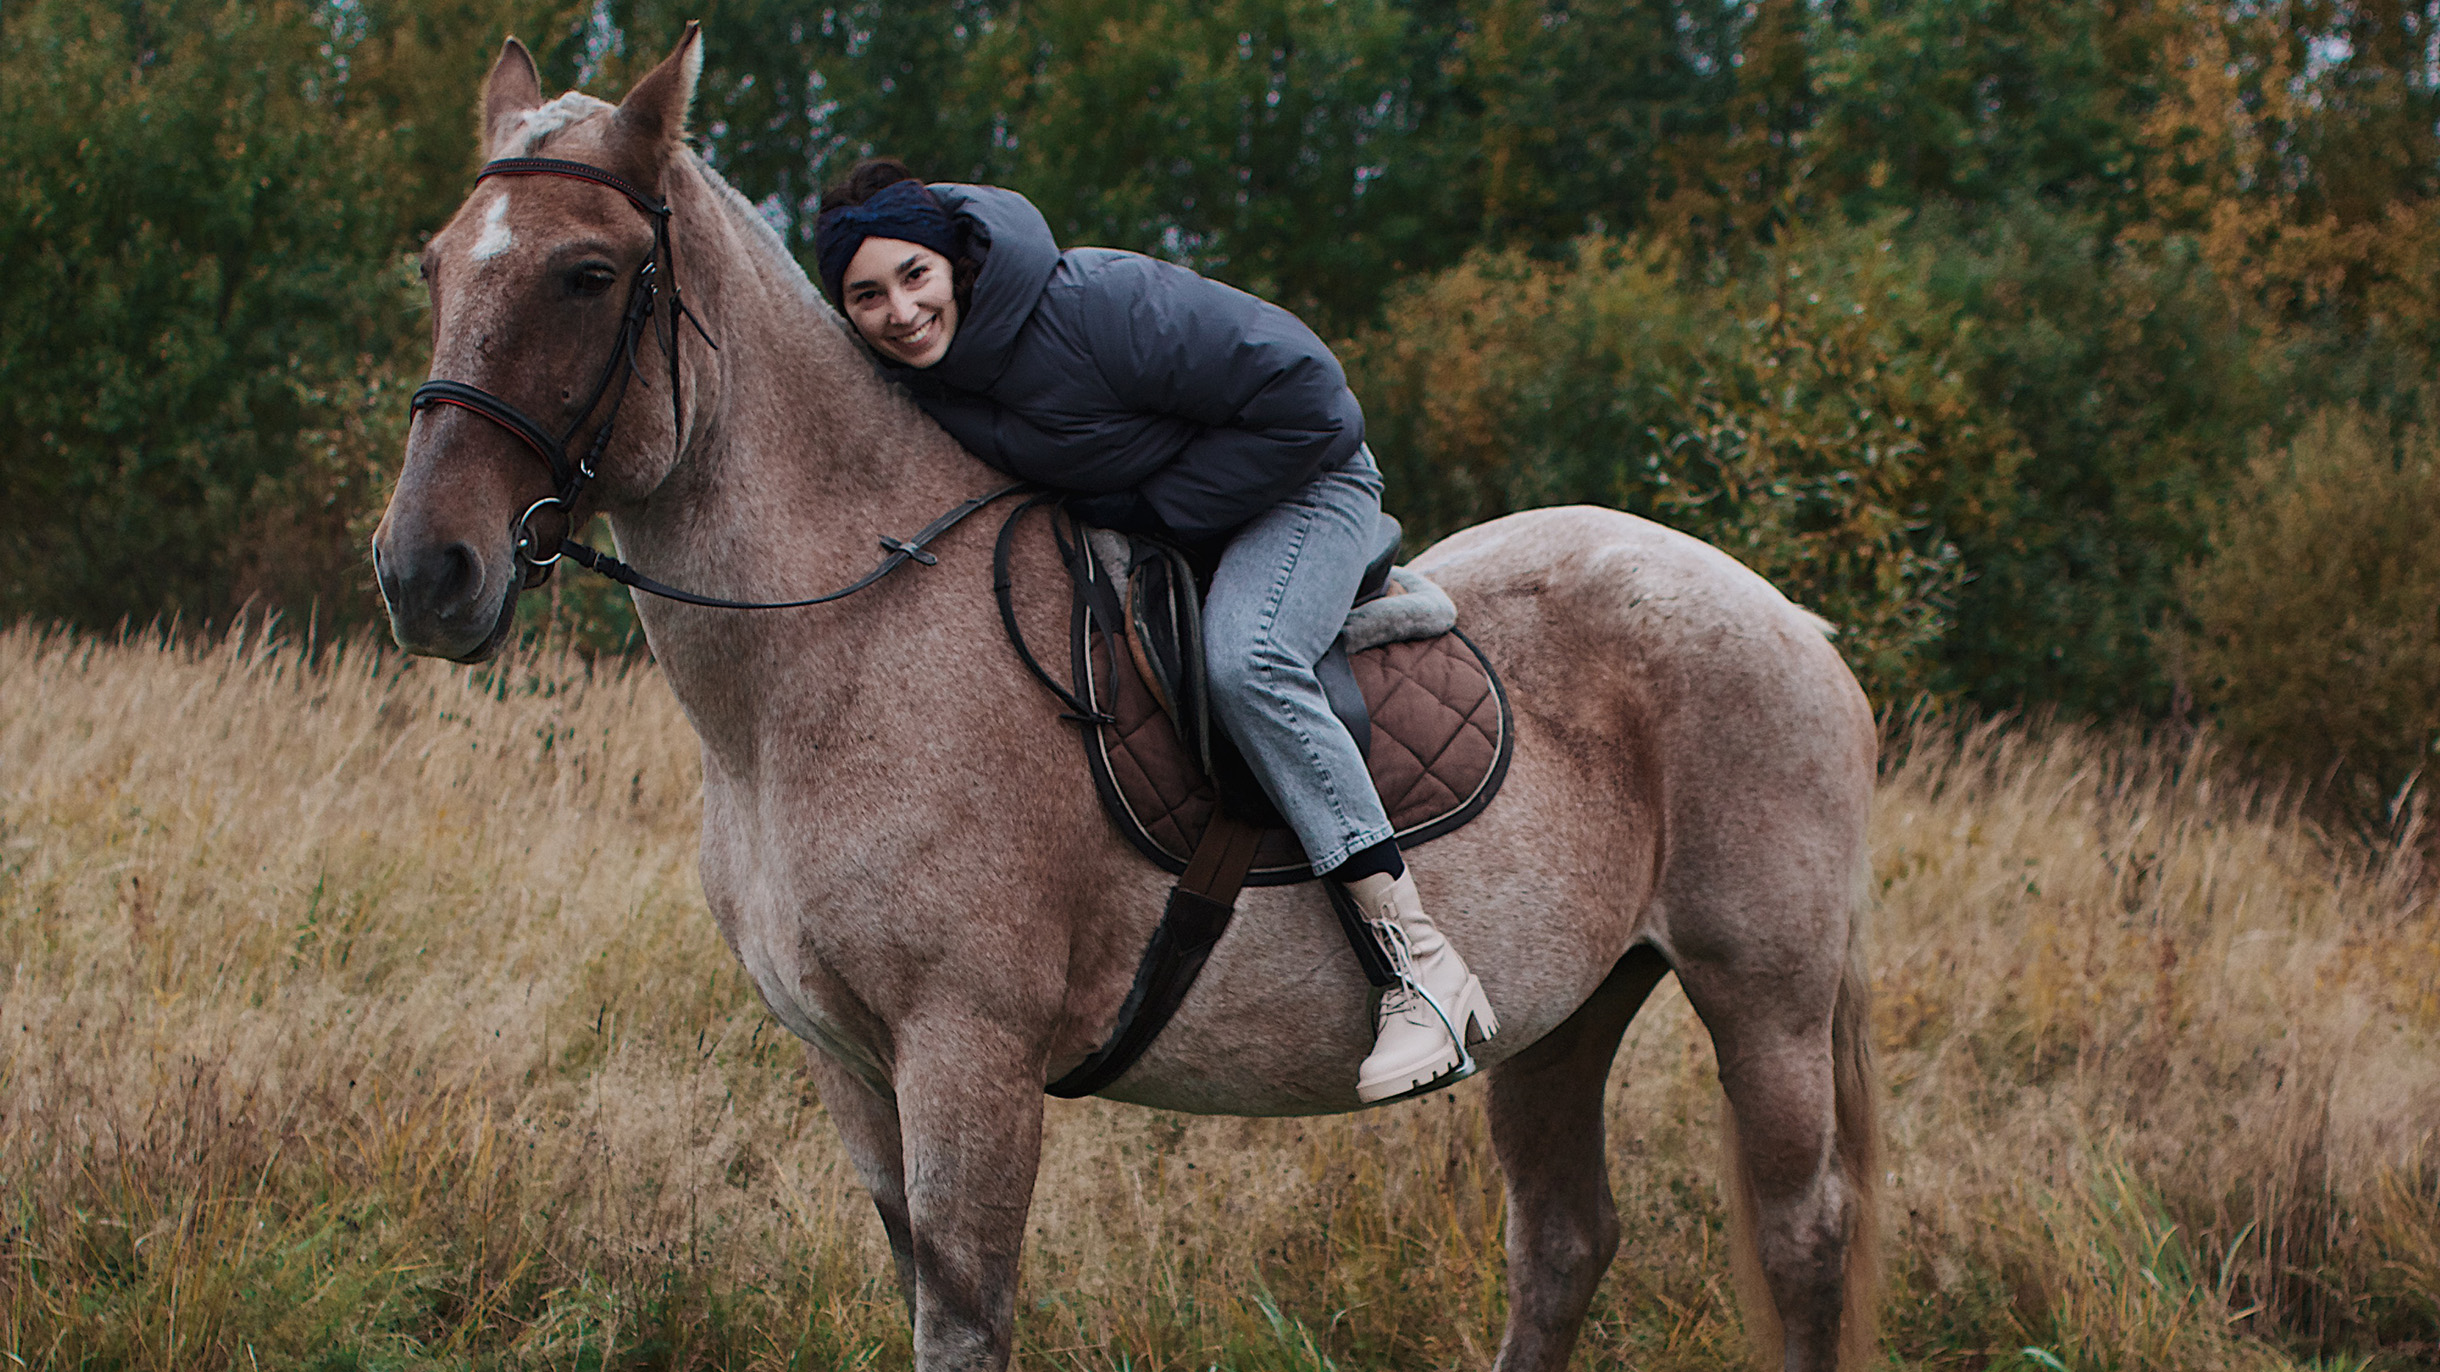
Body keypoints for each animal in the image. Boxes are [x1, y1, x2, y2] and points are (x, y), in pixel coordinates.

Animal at [366, 24, 1883, 1367]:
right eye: (437, 264)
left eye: (587, 273)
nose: (424, 570)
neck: (843, 651)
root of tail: (1789, 620)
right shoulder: (852, 1070)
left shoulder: (966, 1060)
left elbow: (964, 1323)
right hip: (1566, 1018)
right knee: (1564, 1245)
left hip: (1764, 998)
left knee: (1804, 1239)